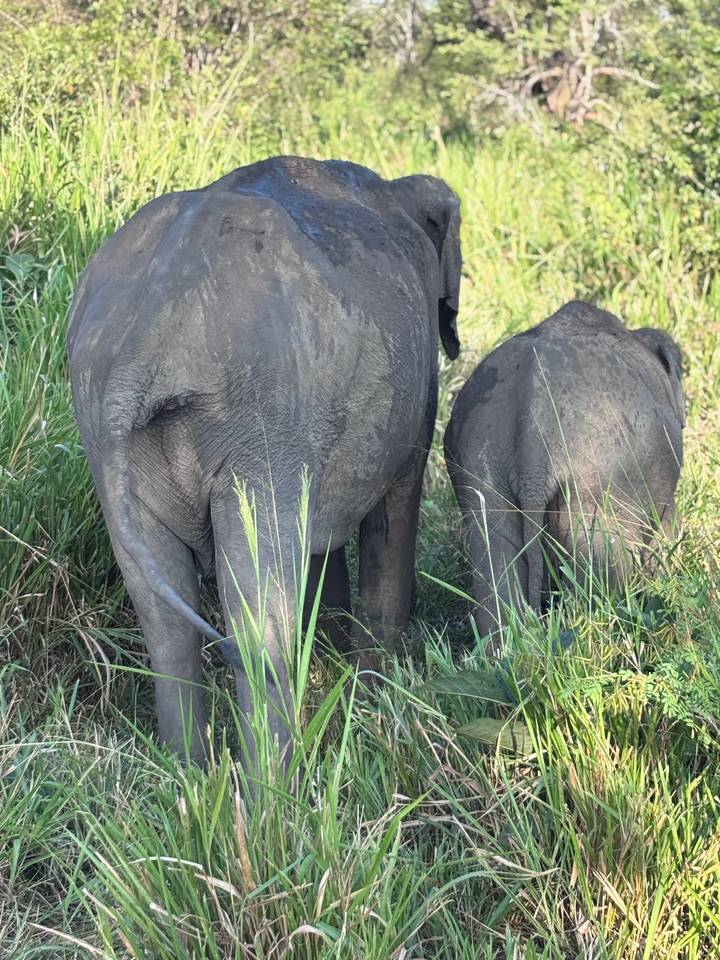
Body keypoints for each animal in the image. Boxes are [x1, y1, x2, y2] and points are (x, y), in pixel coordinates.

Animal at [67, 155, 462, 765]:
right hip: (260, 421)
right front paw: (374, 698)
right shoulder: (413, 400)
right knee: (258, 614)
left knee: (164, 614)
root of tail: (146, 331)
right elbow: (393, 515)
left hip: (111, 434)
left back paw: (190, 772)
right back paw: (277, 784)